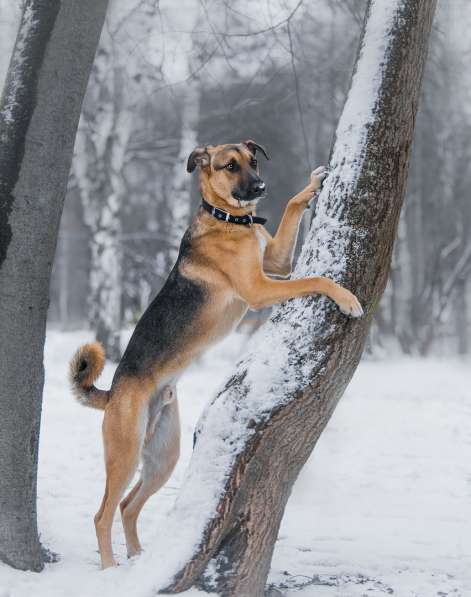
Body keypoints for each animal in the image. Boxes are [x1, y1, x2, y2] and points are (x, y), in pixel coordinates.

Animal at [69, 140, 366, 568]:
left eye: (254, 160)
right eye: (229, 166)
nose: (260, 186)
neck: (230, 220)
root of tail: (113, 392)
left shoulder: (276, 261)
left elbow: (292, 207)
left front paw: (311, 185)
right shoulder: (259, 287)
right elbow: (315, 278)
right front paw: (346, 298)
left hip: (163, 456)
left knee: (128, 506)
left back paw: (139, 558)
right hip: (124, 454)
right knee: (102, 513)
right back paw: (110, 569)